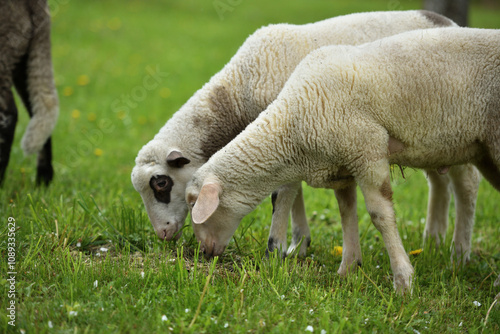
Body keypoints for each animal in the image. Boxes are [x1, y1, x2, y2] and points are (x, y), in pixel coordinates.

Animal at [187, 26, 500, 292]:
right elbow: (347, 211)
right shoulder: (342, 164)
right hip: (480, 150)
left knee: (467, 187)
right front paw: (349, 268)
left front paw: (403, 280)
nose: (204, 254)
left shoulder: (368, 148)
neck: (292, 123)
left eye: (193, 204)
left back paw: (461, 255)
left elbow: (379, 215)